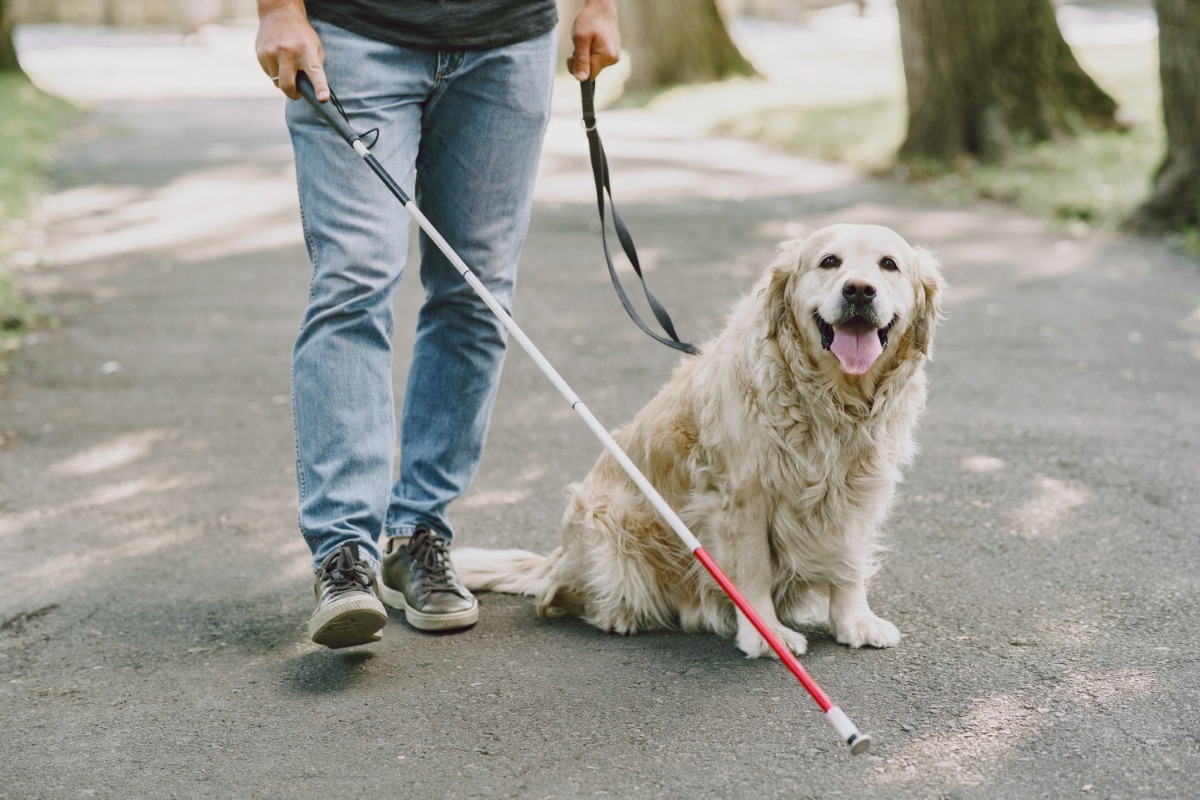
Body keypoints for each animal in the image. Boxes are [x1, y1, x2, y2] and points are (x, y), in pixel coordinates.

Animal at [451, 224, 945, 657]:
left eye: (888, 264)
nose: (859, 290)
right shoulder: (741, 498)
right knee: (556, 595)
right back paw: (618, 614)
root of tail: (557, 556)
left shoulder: (859, 489)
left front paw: (855, 622)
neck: (832, 400)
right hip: (607, 519)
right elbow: (753, 571)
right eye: (829, 262)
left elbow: (849, 563)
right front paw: (766, 636)